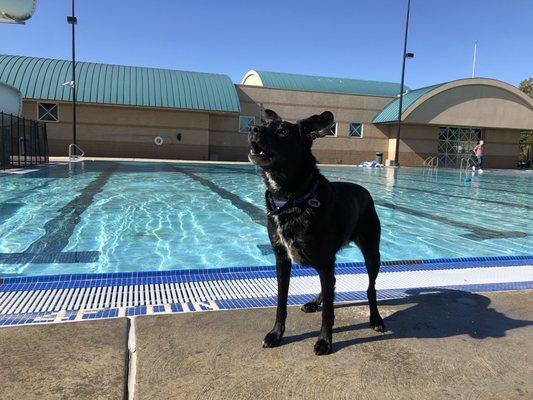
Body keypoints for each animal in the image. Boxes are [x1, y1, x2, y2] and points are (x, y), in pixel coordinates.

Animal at [247, 109, 384, 356]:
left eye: (283, 131)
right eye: (266, 124)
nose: (253, 129)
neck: (292, 201)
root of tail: (365, 191)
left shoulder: (325, 260)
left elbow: (329, 311)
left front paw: (325, 341)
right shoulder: (282, 259)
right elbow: (281, 302)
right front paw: (276, 334)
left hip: (371, 253)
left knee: (370, 288)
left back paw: (375, 318)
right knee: (333, 282)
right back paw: (314, 302)